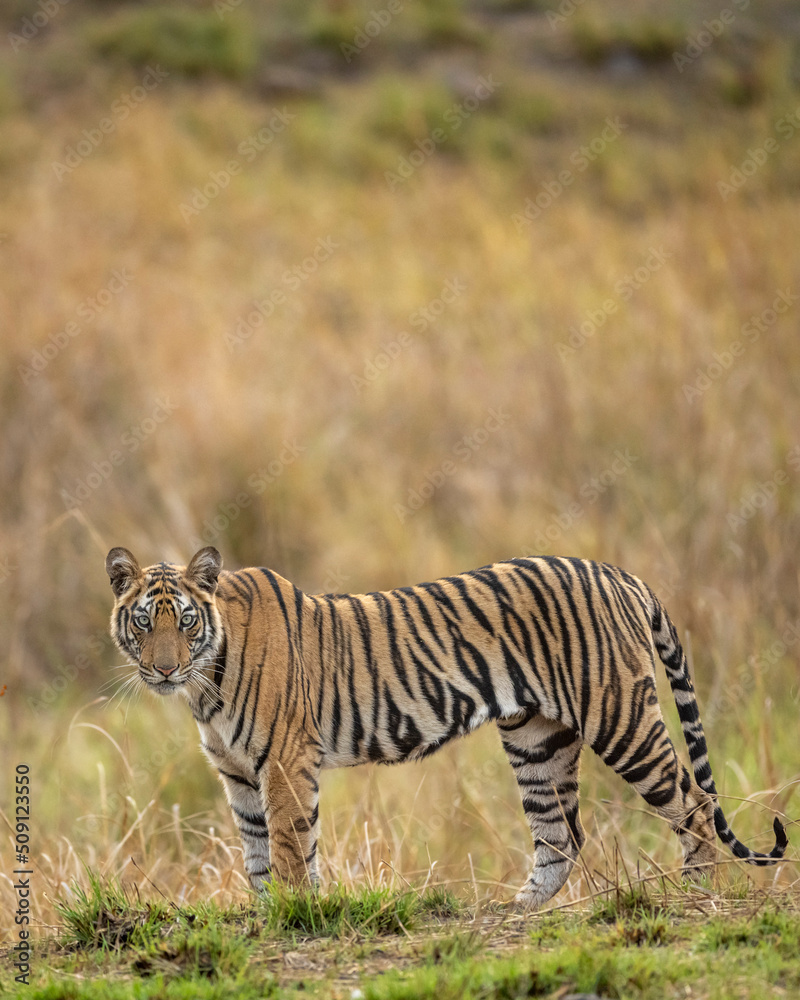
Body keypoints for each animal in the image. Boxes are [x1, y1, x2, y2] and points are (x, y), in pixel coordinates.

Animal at [105, 546, 787, 907]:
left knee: (693, 803)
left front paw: (297, 913)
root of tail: (620, 573)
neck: (203, 685)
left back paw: (697, 895)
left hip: (618, 715)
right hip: (537, 739)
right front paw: (271, 913)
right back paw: (518, 912)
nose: (163, 667)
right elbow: (256, 853)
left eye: (185, 621)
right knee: (560, 836)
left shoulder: (284, 763)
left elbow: (291, 846)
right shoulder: (239, 774)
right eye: (143, 622)